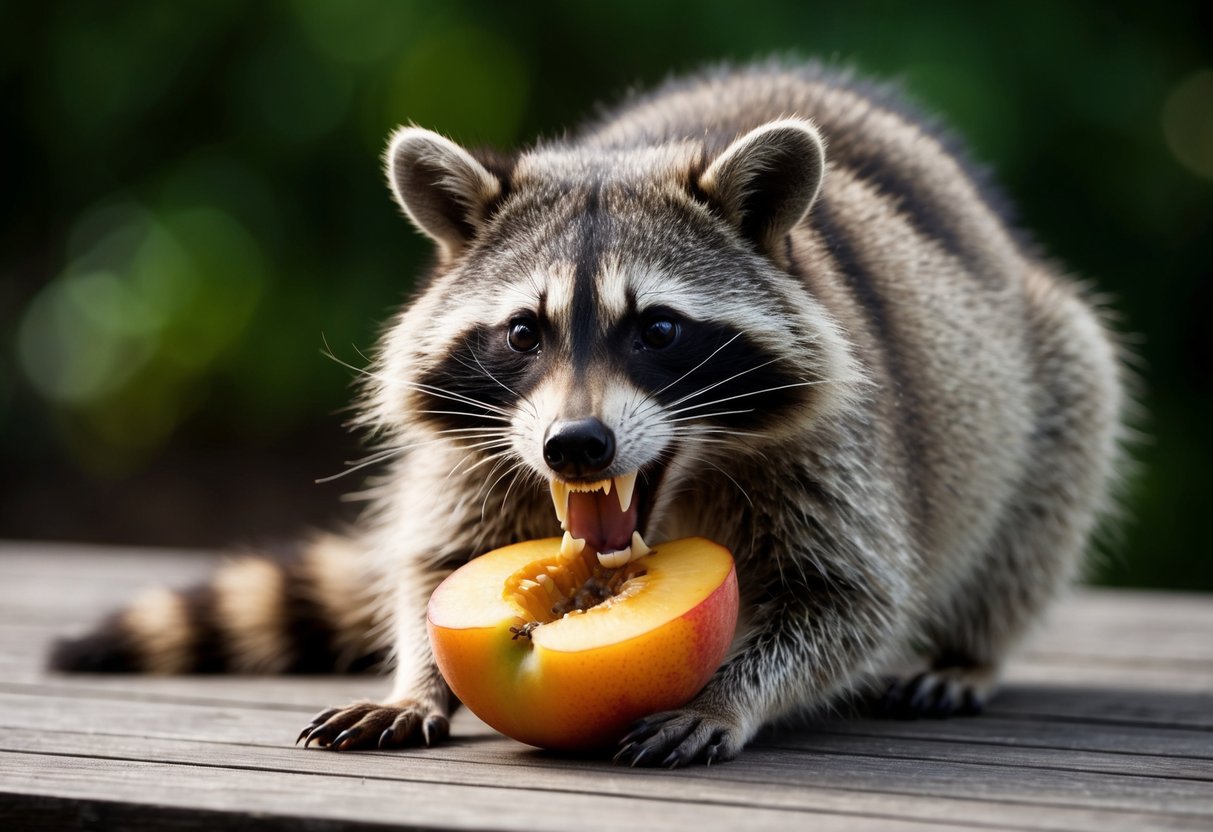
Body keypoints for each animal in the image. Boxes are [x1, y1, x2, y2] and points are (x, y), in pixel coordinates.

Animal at [51, 63, 1126, 767]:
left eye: (658, 329)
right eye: (522, 332)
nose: (576, 447)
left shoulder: (840, 450)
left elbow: (846, 601)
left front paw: (733, 693)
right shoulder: (481, 445)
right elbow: (436, 564)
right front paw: (418, 678)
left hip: (1041, 363)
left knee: (1058, 448)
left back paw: (969, 648)